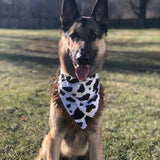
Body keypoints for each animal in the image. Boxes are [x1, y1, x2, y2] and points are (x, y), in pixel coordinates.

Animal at [36, 0, 109, 160]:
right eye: (74, 35)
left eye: (94, 35)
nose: (82, 58)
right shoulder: (55, 136)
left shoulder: (95, 138)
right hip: (46, 142)